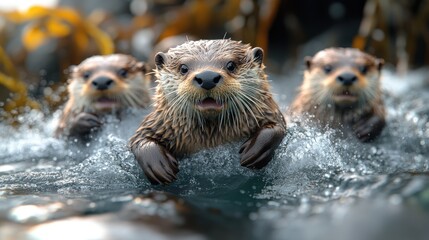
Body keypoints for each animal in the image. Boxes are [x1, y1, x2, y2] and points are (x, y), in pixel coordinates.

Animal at [129, 39, 286, 185]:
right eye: (183, 68)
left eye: (231, 65)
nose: (207, 77)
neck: (210, 137)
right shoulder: (160, 122)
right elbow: (140, 139)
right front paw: (160, 166)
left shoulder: (267, 111)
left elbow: (276, 127)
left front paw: (254, 151)